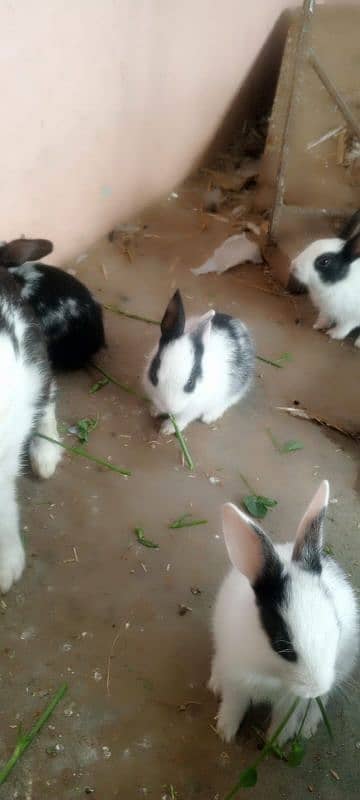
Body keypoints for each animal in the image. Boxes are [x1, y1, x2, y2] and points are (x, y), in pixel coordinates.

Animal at [142, 290, 255, 434]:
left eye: (190, 383)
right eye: (154, 374)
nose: (168, 407)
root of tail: (238, 324)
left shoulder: (193, 409)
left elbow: (182, 419)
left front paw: (167, 429)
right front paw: (154, 411)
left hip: (236, 388)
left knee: (228, 401)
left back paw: (209, 416)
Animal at [210, 484, 358, 748]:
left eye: (337, 627)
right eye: (282, 645)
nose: (315, 688)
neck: (273, 672)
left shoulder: (292, 700)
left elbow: (284, 718)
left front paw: (277, 741)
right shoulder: (236, 680)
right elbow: (234, 706)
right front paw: (225, 732)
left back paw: (308, 727)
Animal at [290, 209, 360, 344]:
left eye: (324, 261)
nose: (293, 266)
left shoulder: (352, 316)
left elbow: (344, 326)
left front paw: (333, 334)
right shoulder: (326, 309)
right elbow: (324, 317)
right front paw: (317, 326)